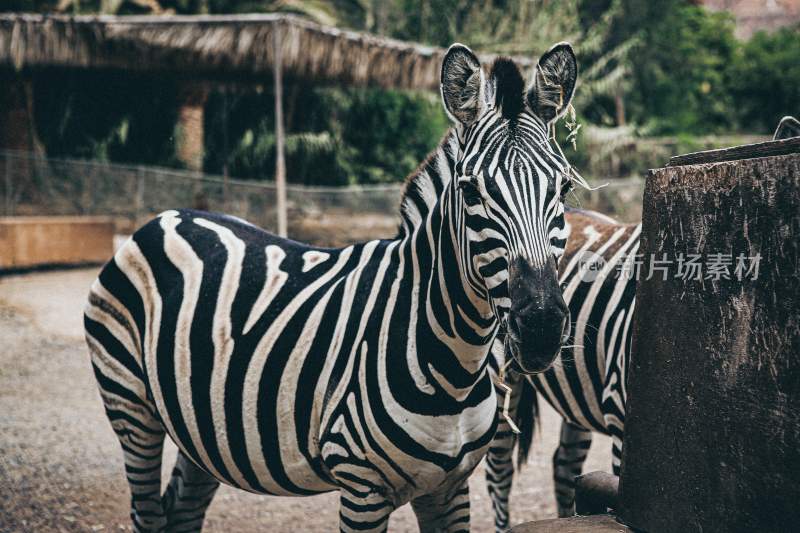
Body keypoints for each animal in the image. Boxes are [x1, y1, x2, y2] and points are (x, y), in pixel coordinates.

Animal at [84, 42, 580, 532]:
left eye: (564, 189)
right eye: (472, 191)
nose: (541, 327)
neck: (456, 366)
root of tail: (168, 216)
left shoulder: (450, 489)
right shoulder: (362, 488)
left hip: (203, 432)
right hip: (131, 406)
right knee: (146, 509)